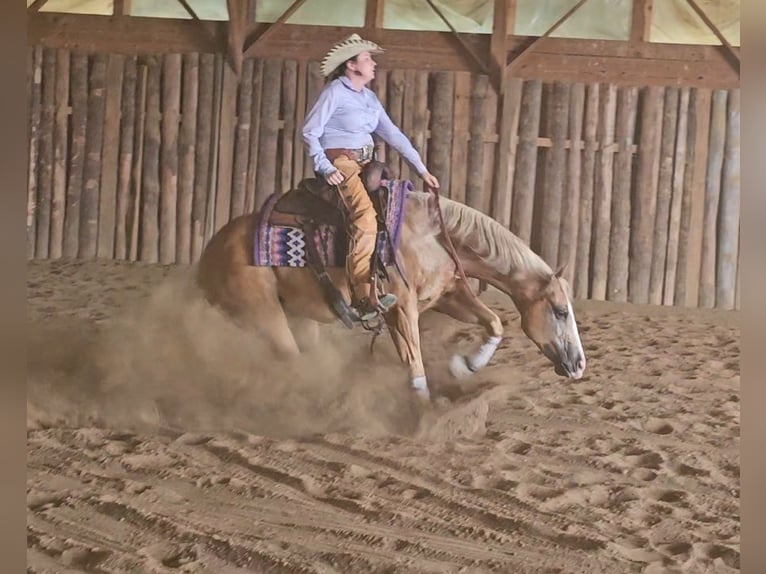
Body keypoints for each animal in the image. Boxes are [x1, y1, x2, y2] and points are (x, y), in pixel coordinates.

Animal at [198, 188, 588, 400]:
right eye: (560, 310)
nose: (580, 364)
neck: (433, 237)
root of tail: (210, 254)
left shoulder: (446, 296)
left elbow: (494, 323)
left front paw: (465, 366)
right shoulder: (400, 309)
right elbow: (413, 362)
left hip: (299, 317)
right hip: (264, 316)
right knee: (289, 361)